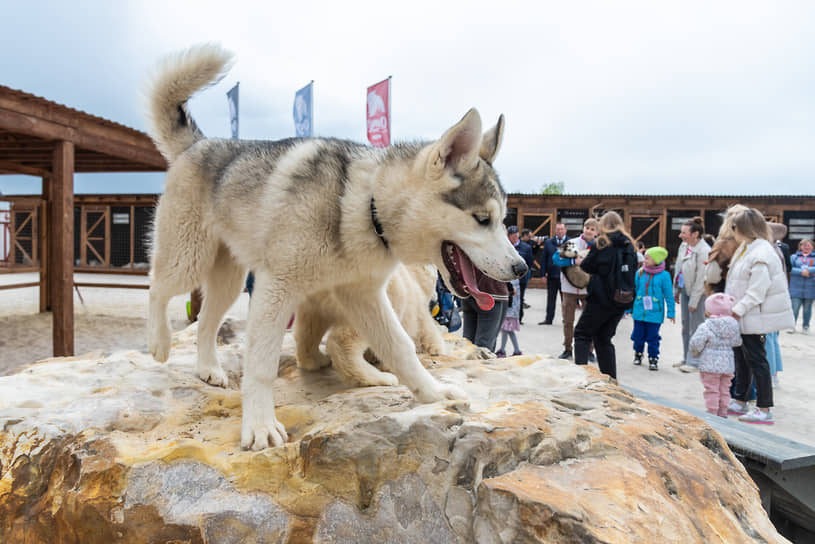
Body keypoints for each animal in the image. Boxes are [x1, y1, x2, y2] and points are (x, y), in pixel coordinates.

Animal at [300, 262, 450, 386]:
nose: (436, 298)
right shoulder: (416, 302)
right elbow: (426, 329)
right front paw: (437, 348)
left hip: (313, 296)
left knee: (309, 325)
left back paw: (315, 360)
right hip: (368, 293)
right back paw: (378, 378)